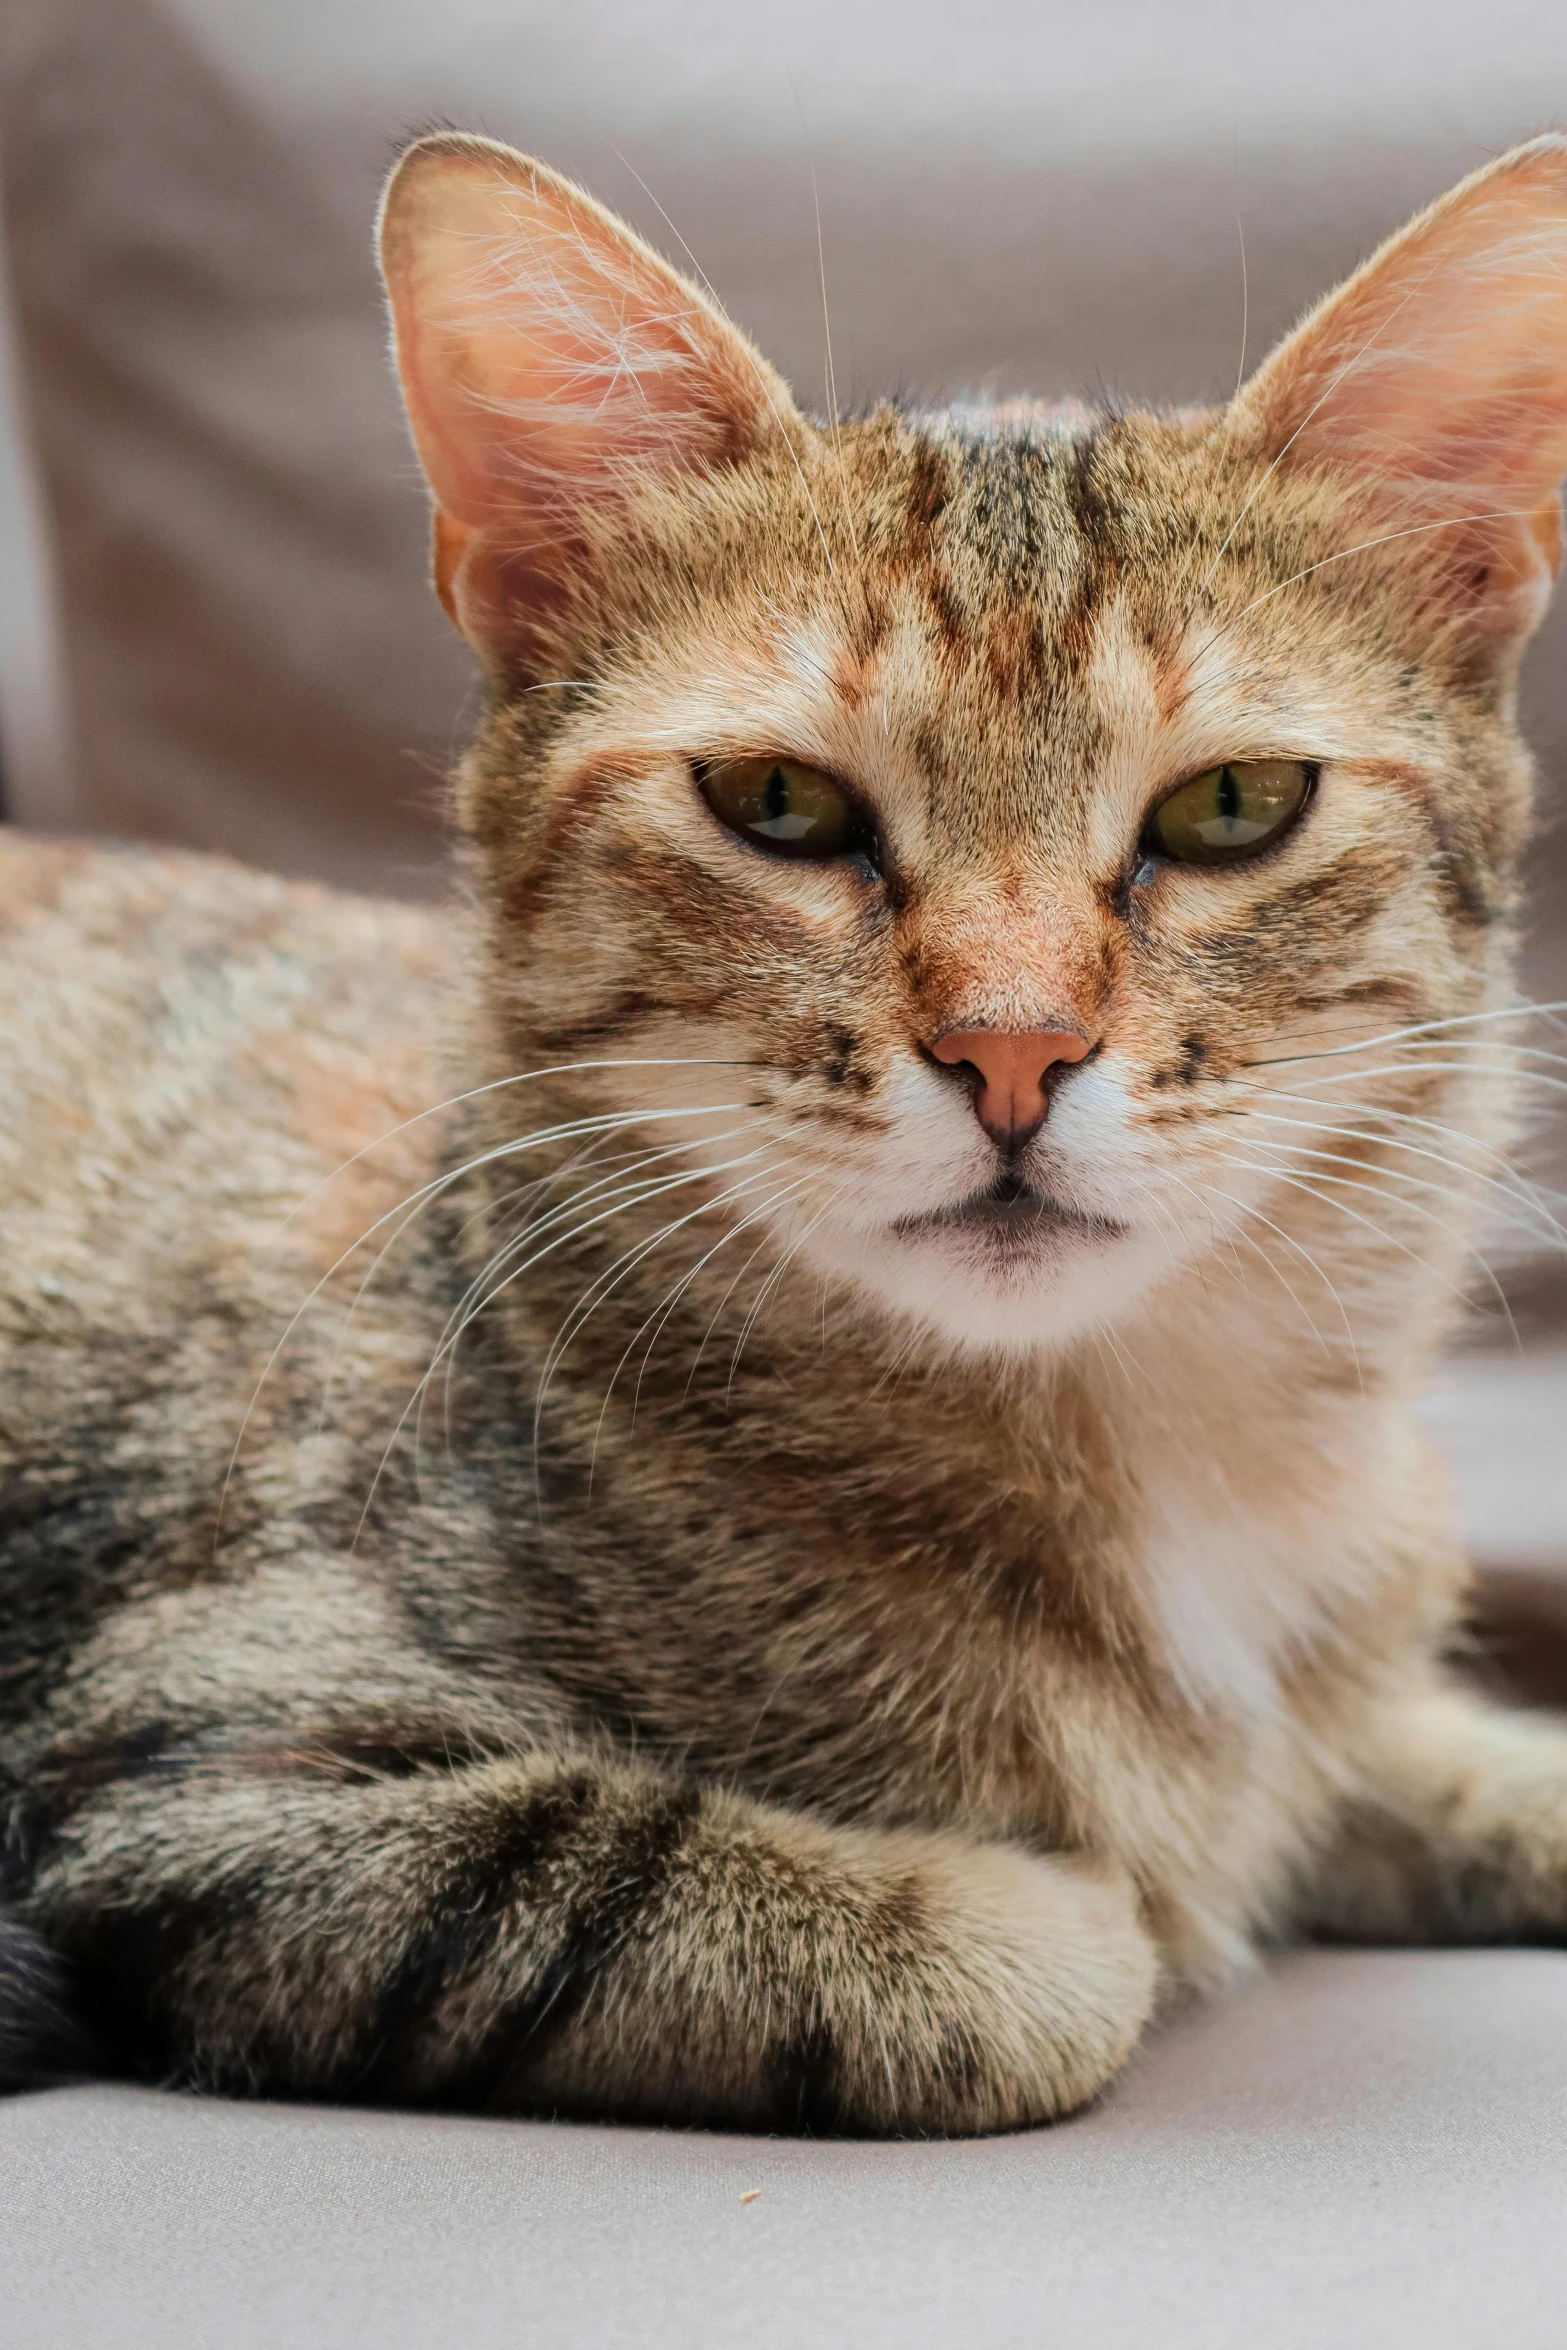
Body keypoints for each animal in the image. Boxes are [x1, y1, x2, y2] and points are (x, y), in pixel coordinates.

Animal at [3, 133, 1567, 2133]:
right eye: (774, 802)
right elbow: (924, 1937)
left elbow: (1390, 1748)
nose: (1010, 1047)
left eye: (1230, 806)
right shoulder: (223, 1784)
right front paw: (1090, 1901)